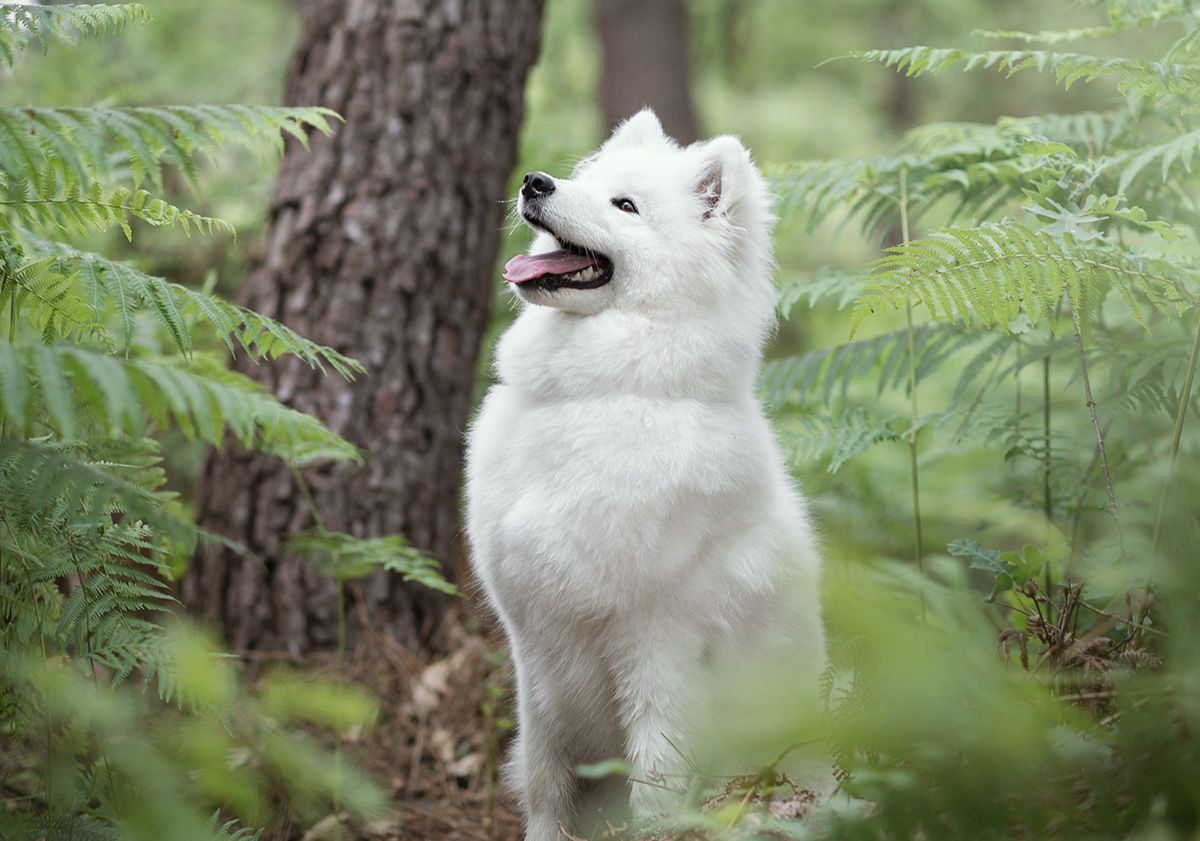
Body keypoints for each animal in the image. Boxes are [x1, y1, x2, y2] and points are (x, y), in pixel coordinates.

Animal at [460, 111, 825, 839]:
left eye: (624, 206)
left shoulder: (658, 640)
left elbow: (656, 775)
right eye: (586, 182)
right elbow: (545, 781)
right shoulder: (531, 646)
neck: (598, 396)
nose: (535, 181)